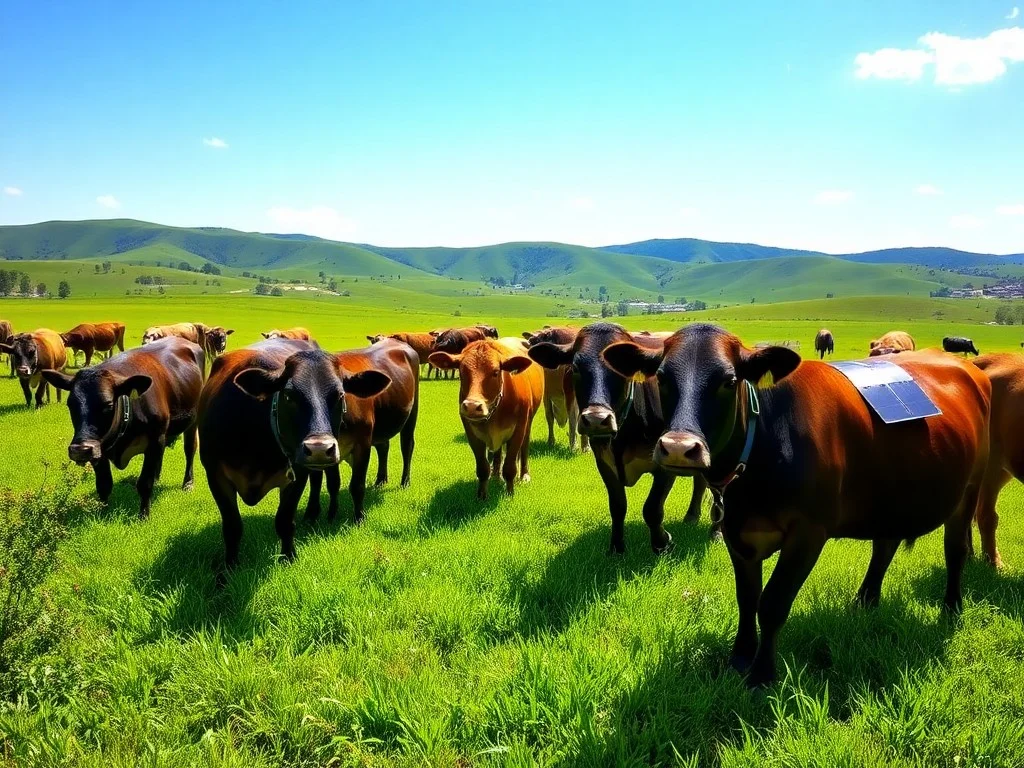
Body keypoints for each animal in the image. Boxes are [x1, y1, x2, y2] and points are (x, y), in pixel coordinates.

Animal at [41, 337, 205, 519]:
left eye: (108, 404)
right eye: (70, 404)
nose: (81, 450)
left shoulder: (155, 439)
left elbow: (144, 483)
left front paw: (144, 515)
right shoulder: (99, 448)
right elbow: (104, 484)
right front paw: (103, 512)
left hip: (192, 421)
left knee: (190, 449)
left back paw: (188, 483)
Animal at [198, 337, 417, 570]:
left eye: (340, 395)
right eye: (288, 396)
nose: (318, 447)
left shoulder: (351, 450)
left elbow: (289, 518)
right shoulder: (215, 475)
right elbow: (232, 526)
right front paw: (229, 567)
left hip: (411, 416)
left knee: (407, 446)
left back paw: (404, 481)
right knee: (380, 448)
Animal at [429, 338, 544, 498]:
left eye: (495, 372)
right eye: (462, 372)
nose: (472, 406)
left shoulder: (519, 429)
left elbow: (510, 466)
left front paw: (509, 493)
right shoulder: (472, 433)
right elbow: (482, 467)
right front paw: (482, 495)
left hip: (529, 421)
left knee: (525, 446)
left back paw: (524, 475)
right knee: (498, 453)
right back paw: (495, 474)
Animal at [527, 322, 709, 554]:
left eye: (620, 370)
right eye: (575, 368)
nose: (596, 420)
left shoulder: (666, 463)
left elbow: (652, 508)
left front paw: (662, 543)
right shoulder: (605, 463)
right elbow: (617, 506)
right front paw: (616, 547)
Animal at [600, 324, 990, 687]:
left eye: (729, 381)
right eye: (662, 378)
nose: (679, 448)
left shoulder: (808, 534)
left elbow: (773, 603)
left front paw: (761, 675)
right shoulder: (736, 533)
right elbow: (747, 598)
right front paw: (740, 657)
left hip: (970, 488)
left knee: (955, 549)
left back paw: (951, 608)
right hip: (891, 497)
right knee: (885, 544)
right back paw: (865, 600)